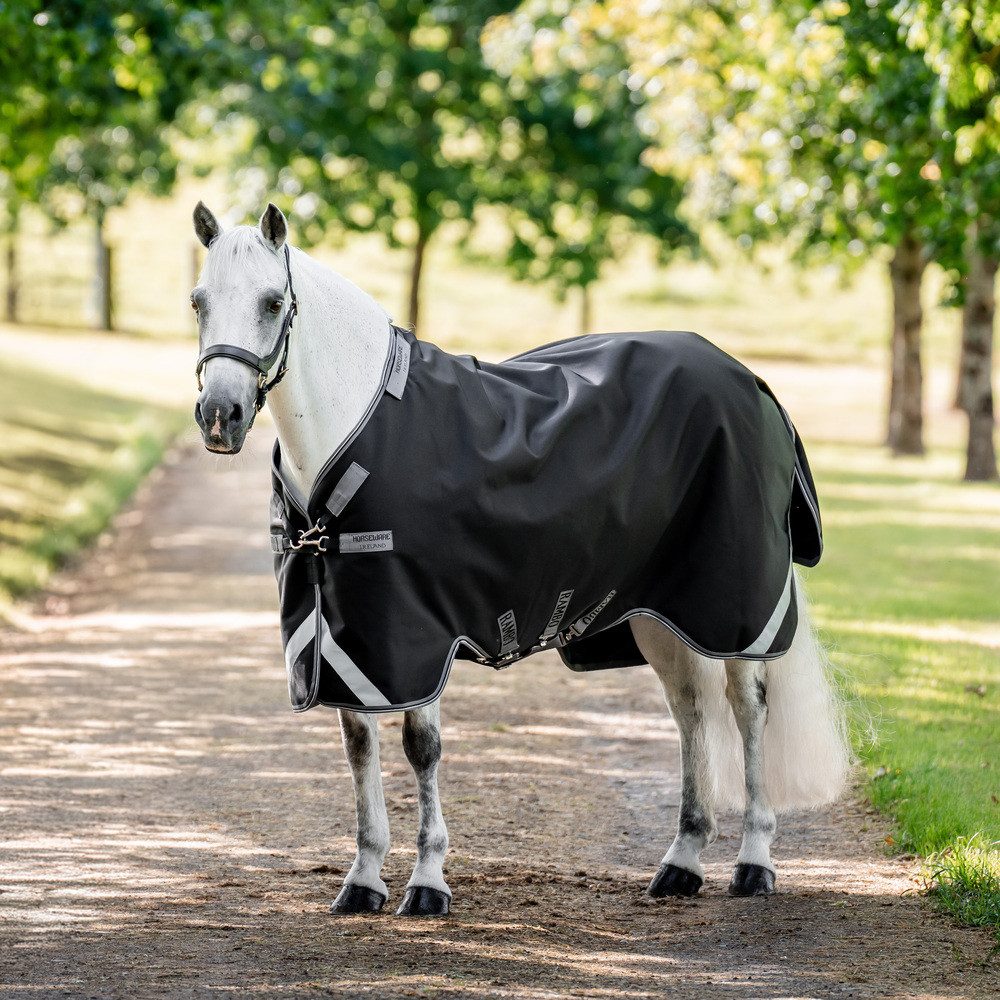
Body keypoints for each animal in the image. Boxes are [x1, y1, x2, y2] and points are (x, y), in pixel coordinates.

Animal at [190, 201, 849, 916]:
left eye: (272, 301)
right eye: (199, 302)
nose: (220, 416)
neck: (356, 427)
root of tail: (750, 379)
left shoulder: (416, 635)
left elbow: (420, 748)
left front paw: (427, 882)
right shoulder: (353, 639)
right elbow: (359, 745)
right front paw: (363, 879)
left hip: (734, 607)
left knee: (747, 708)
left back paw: (754, 862)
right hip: (659, 612)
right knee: (691, 711)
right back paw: (682, 862)